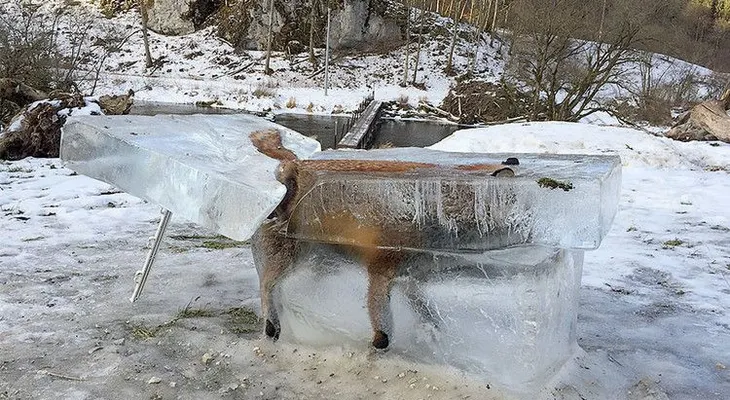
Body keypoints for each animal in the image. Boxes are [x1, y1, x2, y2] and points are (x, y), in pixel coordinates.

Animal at [249, 129, 516, 349]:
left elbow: (426, 310)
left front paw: (432, 332)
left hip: (321, 263)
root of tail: (294, 164)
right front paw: (380, 345)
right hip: (291, 257)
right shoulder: (381, 269)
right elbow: (383, 325)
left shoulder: (411, 276)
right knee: (267, 285)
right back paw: (272, 325)